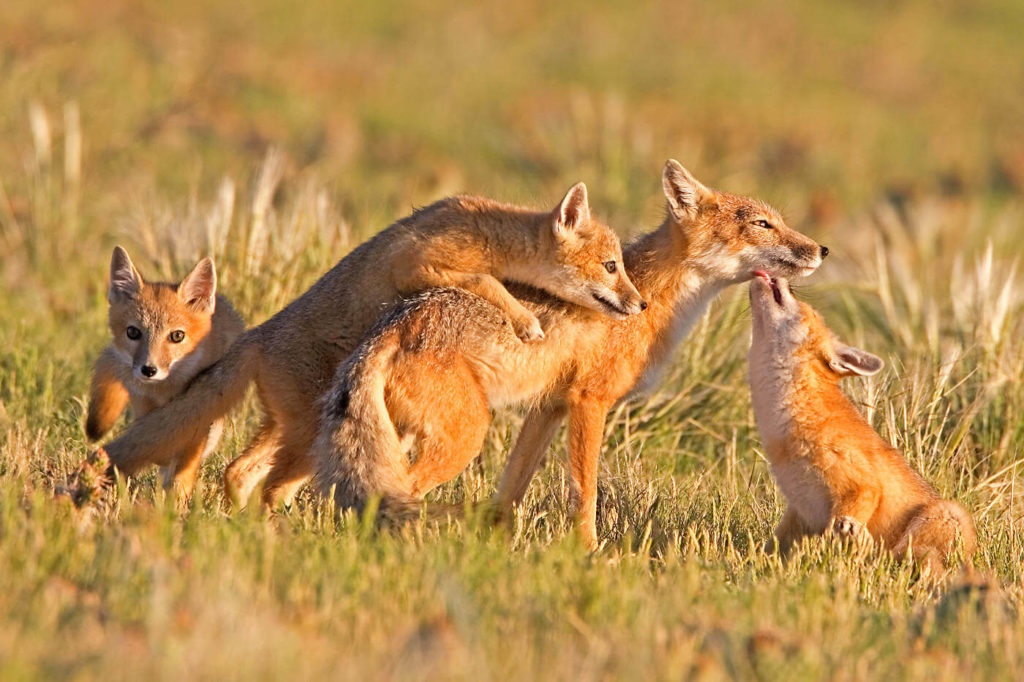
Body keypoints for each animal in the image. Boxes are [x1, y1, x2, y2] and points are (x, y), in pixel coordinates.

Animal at [84, 244, 243, 499]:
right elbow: (151, 439)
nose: (149, 369)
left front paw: (176, 502)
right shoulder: (144, 406)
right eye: (133, 332)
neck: (164, 392)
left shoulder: (198, 416)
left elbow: (182, 470)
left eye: (177, 336)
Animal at [315, 159, 827, 548]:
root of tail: (393, 326)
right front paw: (588, 553)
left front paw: (498, 543)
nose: (821, 248)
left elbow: (511, 490)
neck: (649, 303)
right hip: (465, 436)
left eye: (779, 221)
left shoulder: (549, 407)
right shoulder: (588, 402)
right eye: (763, 224)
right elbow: (585, 492)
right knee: (394, 497)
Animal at [745, 274, 974, 569]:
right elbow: (771, 549)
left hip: (943, 515)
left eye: (797, 297)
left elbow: (837, 531)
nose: (781, 278)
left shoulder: (862, 485)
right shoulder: (800, 510)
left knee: (889, 560)